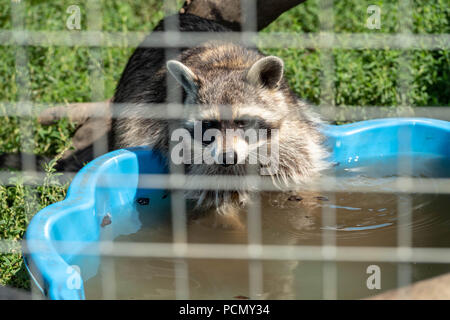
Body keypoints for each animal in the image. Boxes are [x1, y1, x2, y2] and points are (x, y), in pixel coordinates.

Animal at [113, 13, 326, 219]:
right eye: (208, 124)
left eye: (242, 122)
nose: (227, 158)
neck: (227, 65)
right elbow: (214, 193)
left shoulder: (290, 131)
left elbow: (299, 166)